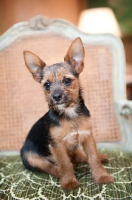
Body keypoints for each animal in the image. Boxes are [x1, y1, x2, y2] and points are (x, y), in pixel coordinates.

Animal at [20, 38, 113, 191]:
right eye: (47, 85)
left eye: (67, 80)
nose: (56, 97)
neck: (69, 113)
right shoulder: (57, 146)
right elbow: (64, 164)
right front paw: (69, 181)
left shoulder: (88, 136)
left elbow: (93, 158)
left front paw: (101, 176)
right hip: (32, 158)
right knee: (54, 168)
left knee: (78, 156)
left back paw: (98, 157)